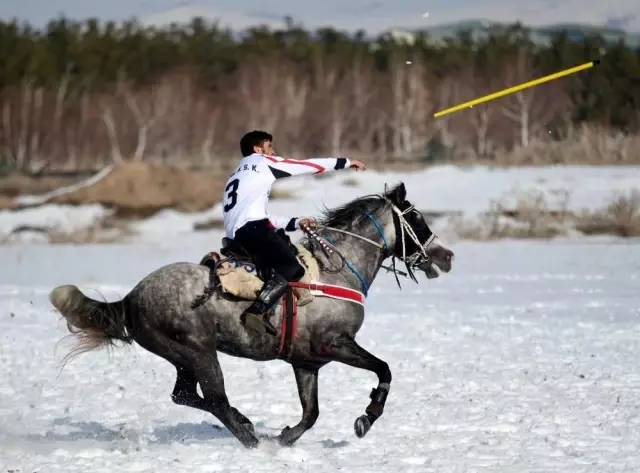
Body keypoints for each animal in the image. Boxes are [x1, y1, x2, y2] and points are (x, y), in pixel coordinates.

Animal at [50, 182, 452, 450]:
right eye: (415, 218)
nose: (446, 256)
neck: (334, 272)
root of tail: (132, 297)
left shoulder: (307, 363)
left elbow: (311, 413)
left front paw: (286, 437)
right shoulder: (336, 344)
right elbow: (383, 370)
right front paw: (365, 418)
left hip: (182, 357)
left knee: (185, 395)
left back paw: (247, 425)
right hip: (199, 352)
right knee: (213, 398)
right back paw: (249, 438)